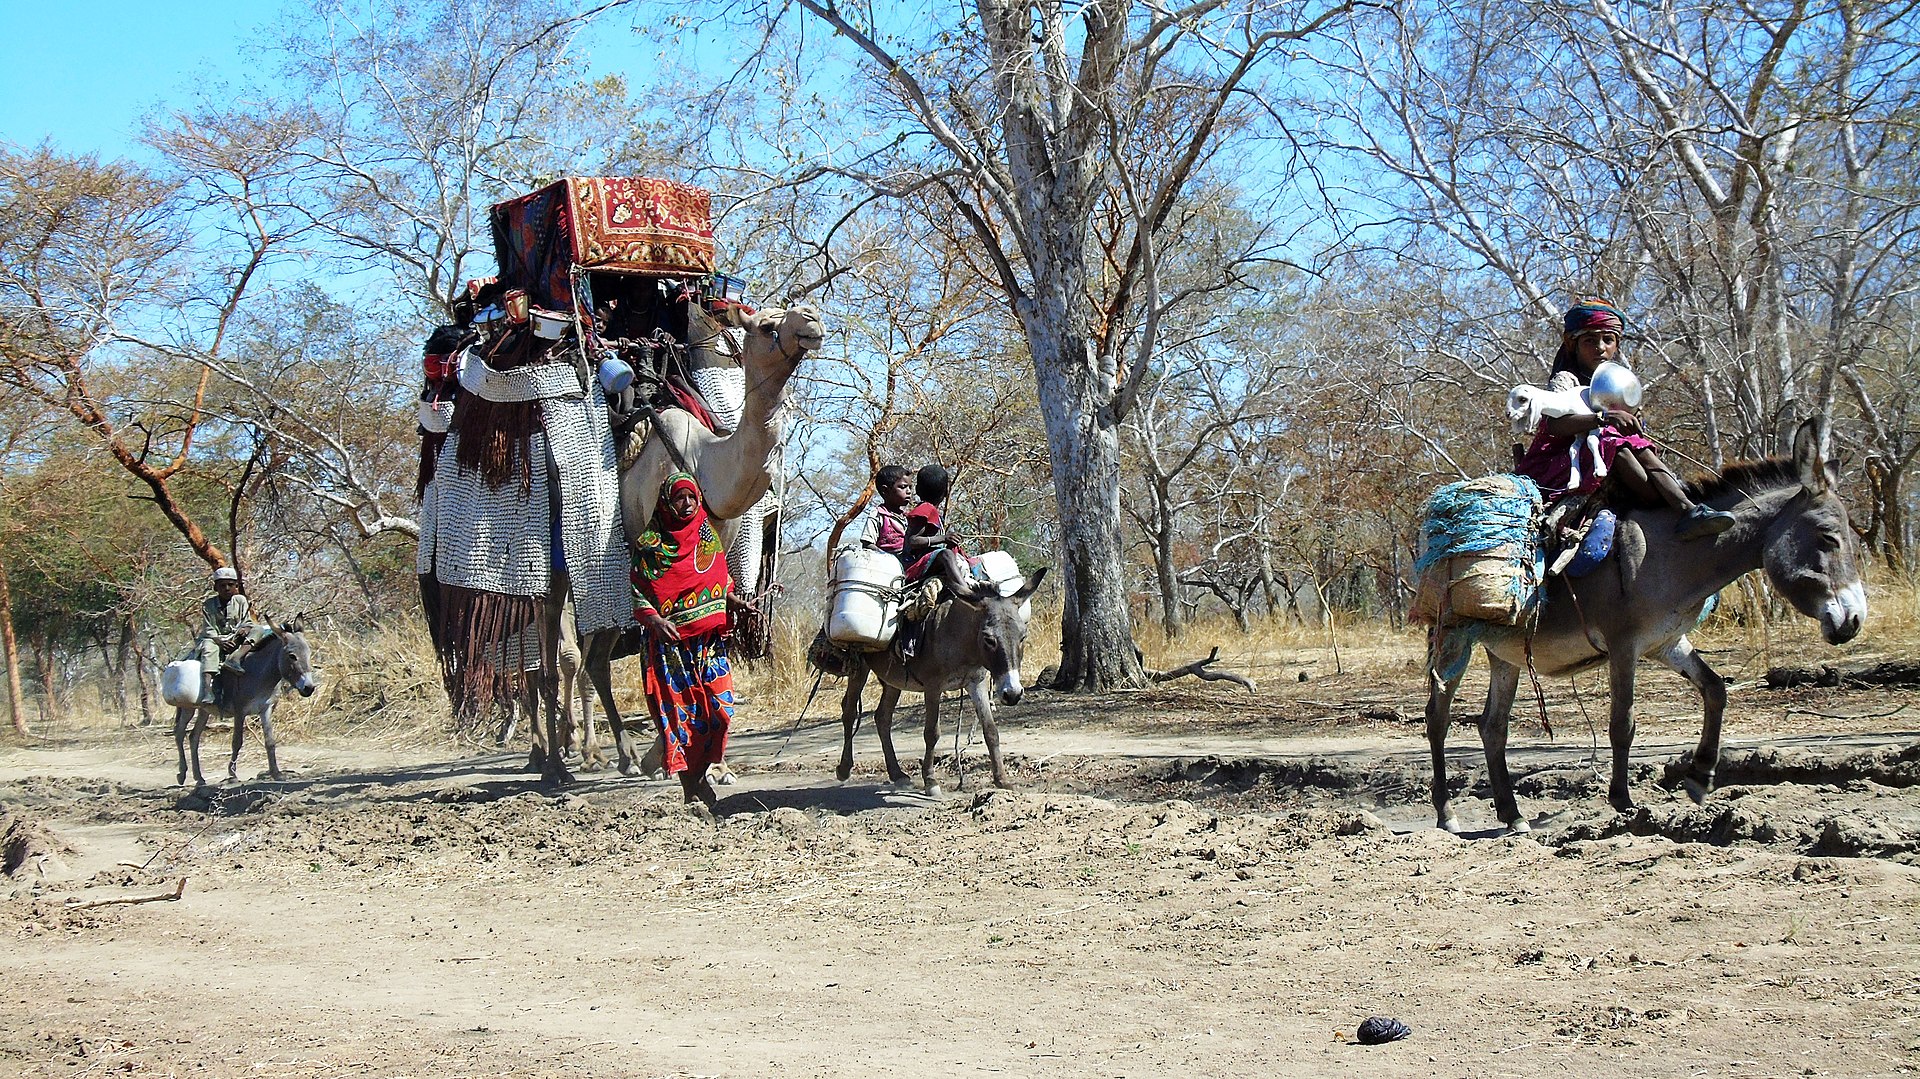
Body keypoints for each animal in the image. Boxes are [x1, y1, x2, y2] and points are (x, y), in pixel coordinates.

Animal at [572, 303, 821, 771]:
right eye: (766, 325)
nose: (813, 321)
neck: (705, 462)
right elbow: (666, 639)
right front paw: (673, 752)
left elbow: (712, 630)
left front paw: (710, 763)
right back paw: (568, 756)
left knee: (592, 659)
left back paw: (620, 754)